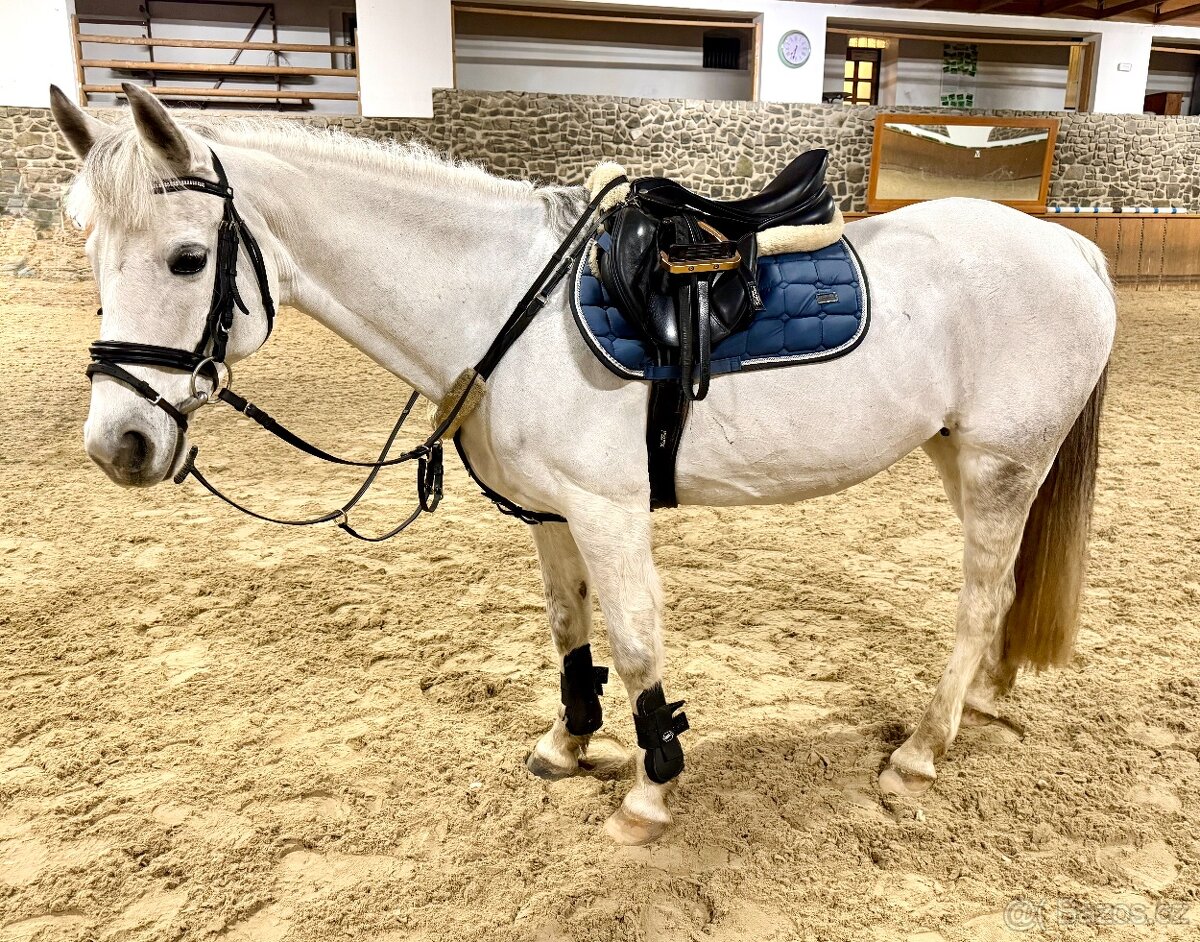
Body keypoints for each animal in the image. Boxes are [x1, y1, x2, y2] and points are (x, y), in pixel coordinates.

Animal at [49, 84, 1114, 846]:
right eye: (93, 255)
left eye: (189, 260)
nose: (118, 446)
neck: (494, 302)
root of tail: (1075, 250)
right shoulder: (552, 514)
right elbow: (570, 633)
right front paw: (568, 742)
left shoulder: (608, 510)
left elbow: (638, 643)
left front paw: (650, 791)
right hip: (960, 456)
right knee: (1003, 589)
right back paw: (983, 700)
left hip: (1001, 464)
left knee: (980, 596)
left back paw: (923, 750)